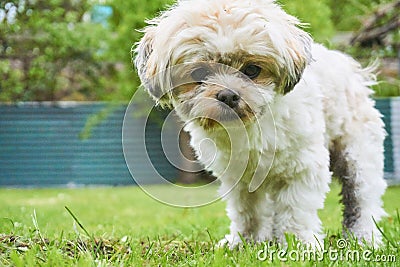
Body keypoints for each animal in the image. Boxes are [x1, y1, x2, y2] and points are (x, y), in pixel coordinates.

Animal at [134, 0, 388, 249]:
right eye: (200, 73)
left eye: (252, 70)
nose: (228, 95)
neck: (249, 128)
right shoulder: (240, 180)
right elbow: (248, 212)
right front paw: (245, 242)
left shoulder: (302, 170)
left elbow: (295, 211)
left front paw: (297, 245)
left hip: (357, 157)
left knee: (361, 198)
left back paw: (364, 238)